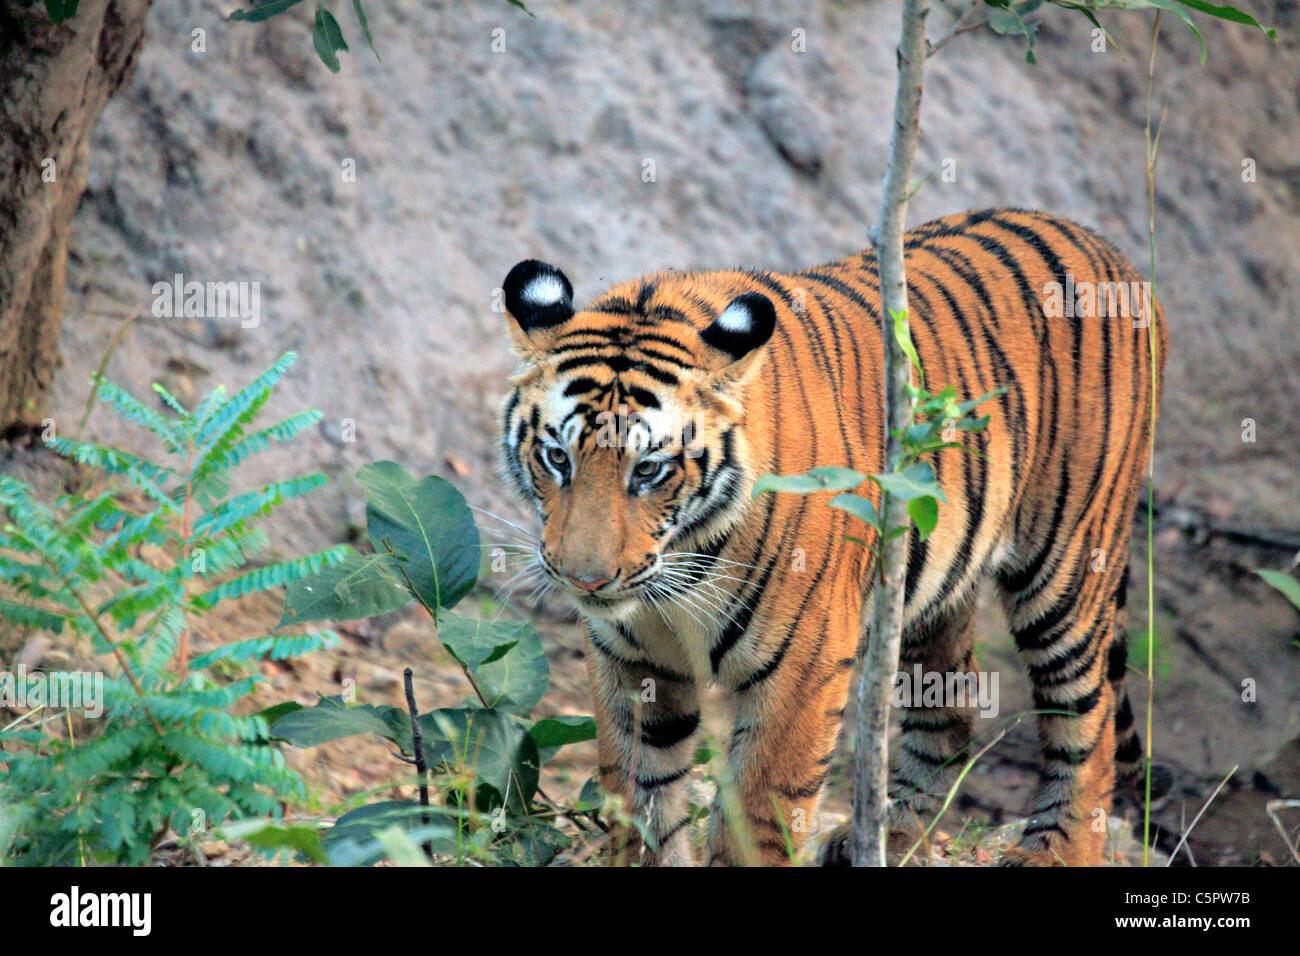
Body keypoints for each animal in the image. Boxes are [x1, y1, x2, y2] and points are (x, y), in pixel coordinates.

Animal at [496, 208, 1170, 868]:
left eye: (649, 470)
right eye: (557, 458)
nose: (584, 579)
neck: (681, 558)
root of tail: (1110, 253)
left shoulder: (802, 668)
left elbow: (756, 821)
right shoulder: (630, 662)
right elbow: (641, 803)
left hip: (1065, 569)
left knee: (1087, 721)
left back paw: (1054, 851)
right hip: (929, 583)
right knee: (951, 710)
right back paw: (884, 839)